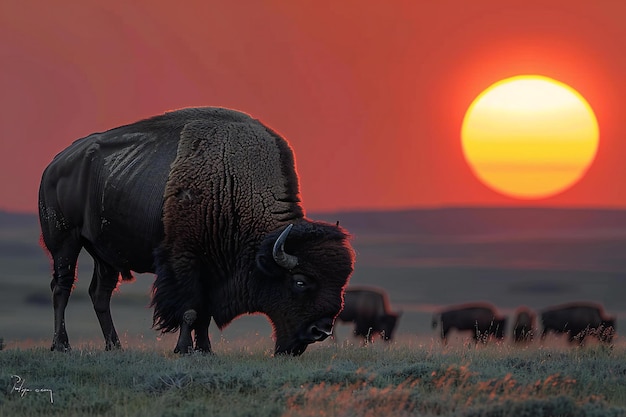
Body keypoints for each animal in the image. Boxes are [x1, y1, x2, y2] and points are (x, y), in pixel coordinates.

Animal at [39, 107, 354, 354]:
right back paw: (61, 345)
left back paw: (114, 346)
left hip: (106, 256)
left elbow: (204, 314)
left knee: (100, 294)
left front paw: (204, 349)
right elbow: (190, 311)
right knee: (62, 287)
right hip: (65, 242)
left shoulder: (212, 271)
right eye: (300, 281)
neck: (231, 182)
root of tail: (55, 164)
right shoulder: (186, 261)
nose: (321, 330)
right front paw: (183, 349)